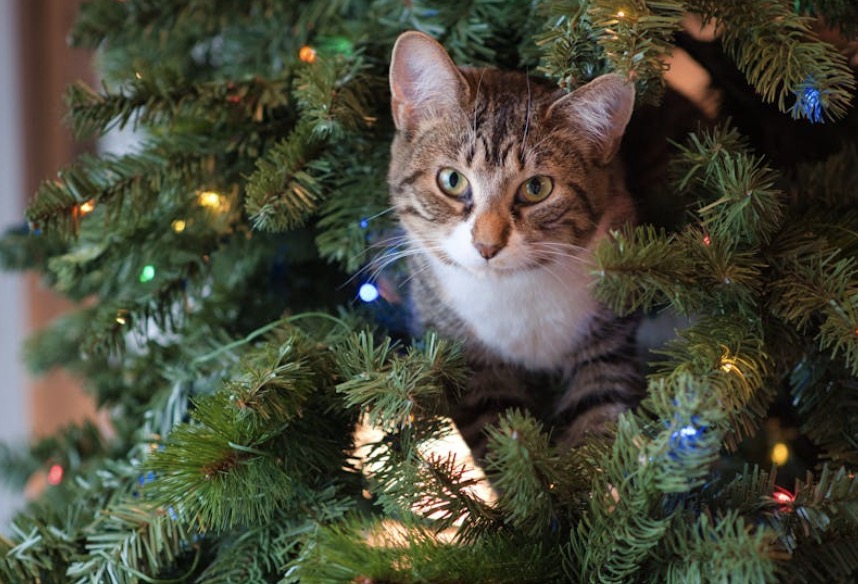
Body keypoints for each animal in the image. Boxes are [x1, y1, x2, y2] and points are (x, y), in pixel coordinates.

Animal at [384, 30, 640, 460]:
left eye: (537, 188)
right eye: (451, 180)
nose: (487, 245)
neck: (513, 290)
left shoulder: (608, 335)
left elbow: (598, 419)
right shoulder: (469, 363)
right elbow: (503, 437)